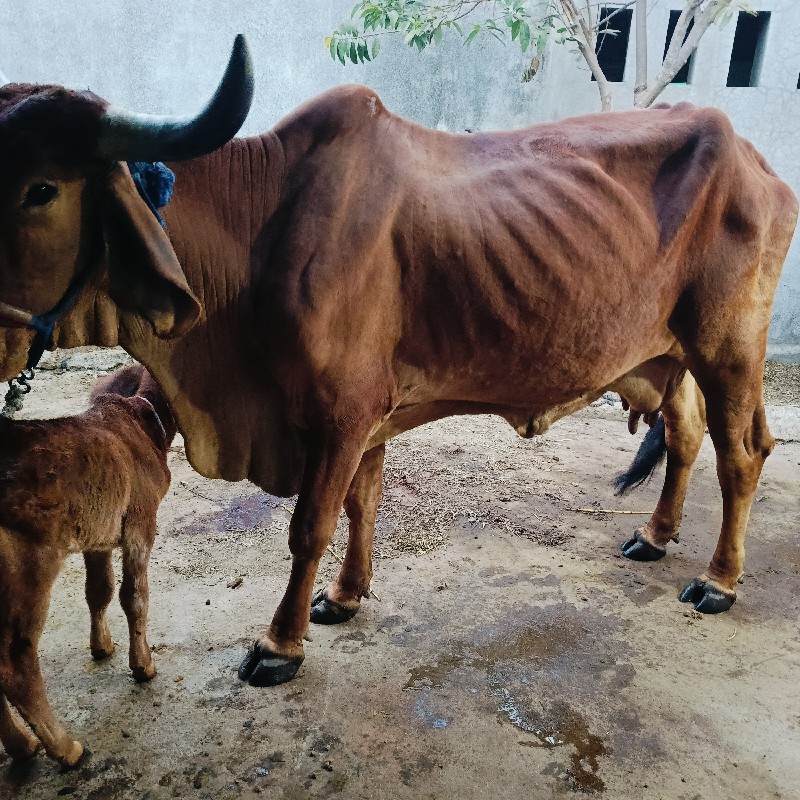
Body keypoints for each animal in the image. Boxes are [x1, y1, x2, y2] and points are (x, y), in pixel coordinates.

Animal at [0, 50, 792, 688]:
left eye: (40, 188)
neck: (260, 223)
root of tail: (756, 161)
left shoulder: (341, 413)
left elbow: (310, 527)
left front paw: (279, 643)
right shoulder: (367, 417)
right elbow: (363, 504)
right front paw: (345, 598)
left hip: (729, 347)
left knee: (743, 453)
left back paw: (719, 580)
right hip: (670, 354)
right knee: (686, 437)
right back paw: (654, 537)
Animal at [0, 364, 176, 768]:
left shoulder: (98, 534)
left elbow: (100, 590)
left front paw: (102, 647)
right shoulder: (140, 522)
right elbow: (135, 597)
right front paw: (142, 666)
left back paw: (22, 744)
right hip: (28, 569)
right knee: (16, 664)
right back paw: (64, 748)